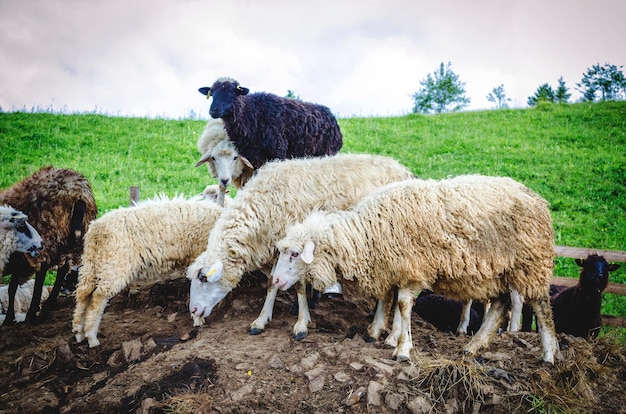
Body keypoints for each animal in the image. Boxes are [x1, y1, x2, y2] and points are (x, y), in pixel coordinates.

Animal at [0, 167, 97, 326]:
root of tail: (77, 192)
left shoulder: (19, 255)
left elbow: (12, 286)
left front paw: (9, 318)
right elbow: (13, 284)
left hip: (48, 233)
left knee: (44, 268)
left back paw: (33, 314)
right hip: (75, 236)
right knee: (63, 268)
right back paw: (46, 308)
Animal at [73, 192, 225, 348]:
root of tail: (95, 230)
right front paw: (198, 319)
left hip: (92, 264)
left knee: (83, 294)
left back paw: (78, 332)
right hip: (113, 265)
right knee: (97, 298)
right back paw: (91, 337)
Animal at [185, 152, 414, 340]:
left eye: (203, 278)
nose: (193, 310)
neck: (261, 210)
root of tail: (404, 169)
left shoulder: (299, 249)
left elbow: (299, 286)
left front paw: (301, 324)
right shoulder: (277, 251)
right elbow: (272, 282)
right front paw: (261, 320)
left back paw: (386, 331)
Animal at [197, 77, 342, 169]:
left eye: (231, 92)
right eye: (212, 93)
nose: (213, 110)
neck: (251, 113)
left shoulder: (278, 152)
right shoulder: (252, 156)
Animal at [272, 175, 560, 362]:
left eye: (295, 253)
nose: (274, 280)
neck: (367, 232)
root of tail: (537, 198)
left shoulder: (411, 270)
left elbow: (402, 304)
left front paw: (401, 347)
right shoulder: (392, 267)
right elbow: (387, 299)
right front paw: (379, 333)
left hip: (531, 263)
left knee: (541, 307)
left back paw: (548, 353)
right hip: (497, 272)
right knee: (500, 304)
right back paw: (473, 346)